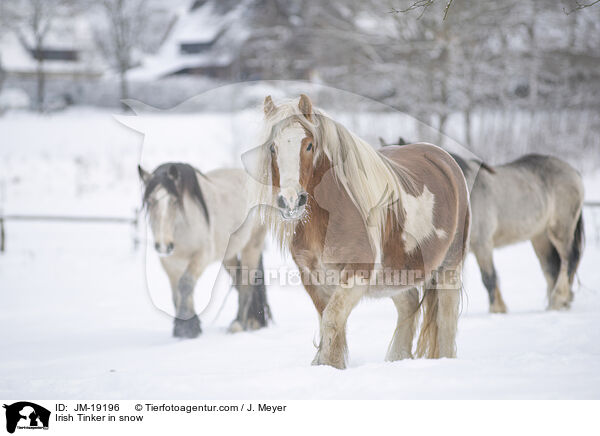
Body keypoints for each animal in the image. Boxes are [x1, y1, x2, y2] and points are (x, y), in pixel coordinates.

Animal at [138, 164, 270, 338]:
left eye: (174, 201)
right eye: (149, 201)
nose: (164, 246)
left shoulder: (201, 256)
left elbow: (186, 284)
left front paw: (186, 329)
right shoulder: (170, 263)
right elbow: (177, 294)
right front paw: (187, 327)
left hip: (252, 244)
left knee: (246, 282)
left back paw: (239, 324)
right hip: (228, 255)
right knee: (238, 279)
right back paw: (250, 322)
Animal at [251, 95, 472, 368]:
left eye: (309, 145)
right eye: (273, 147)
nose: (290, 200)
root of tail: (443, 158)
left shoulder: (357, 274)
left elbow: (332, 320)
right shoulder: (312, 277)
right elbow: (328, 325)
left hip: (450, 267)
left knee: (446, 321)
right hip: (396, 274)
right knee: (408, 305)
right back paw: (396, 359)